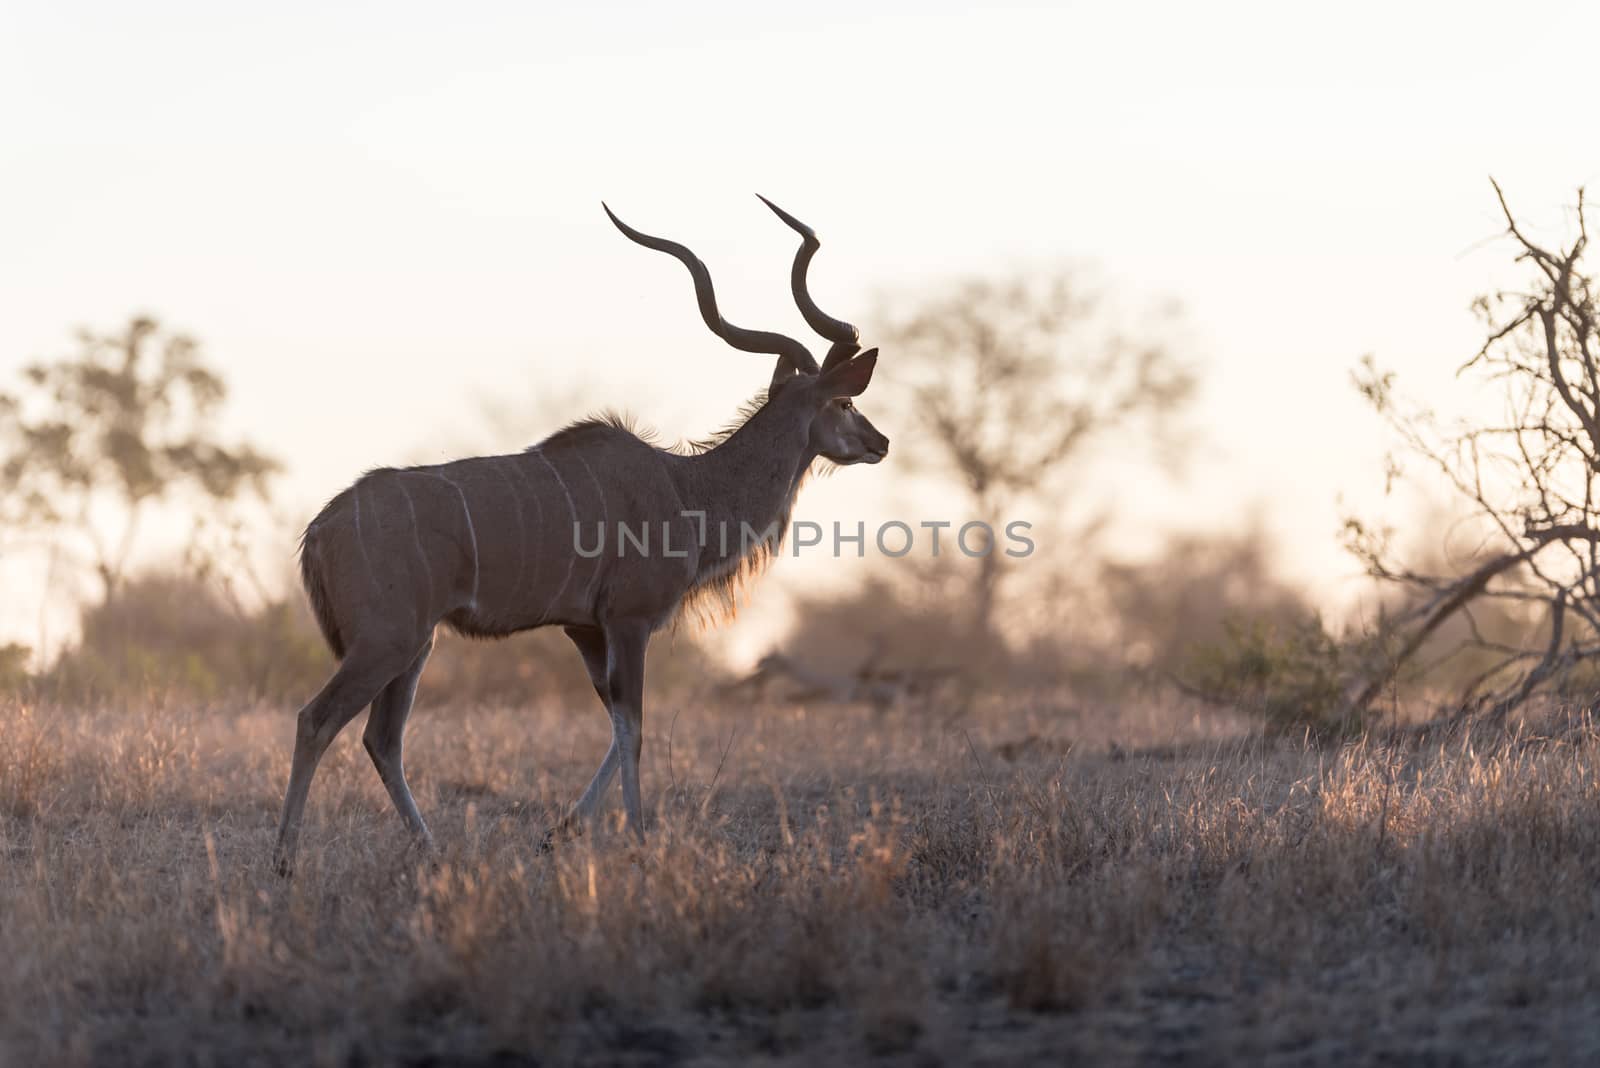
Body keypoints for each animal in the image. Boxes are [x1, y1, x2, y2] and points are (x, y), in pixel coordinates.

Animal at [281, 195, 896, 869]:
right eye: (844, 403)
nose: (881, 442)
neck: (686, 489)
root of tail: (320, 529)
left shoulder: (584, 628)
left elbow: (617, 722)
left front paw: (560, 832)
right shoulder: (629, 620)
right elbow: (636, 725)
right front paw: (640, 840)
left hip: (417, 645)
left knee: (381, 738)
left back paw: (434, 853)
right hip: (387, 641)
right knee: (317, 720)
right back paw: (285, 860)